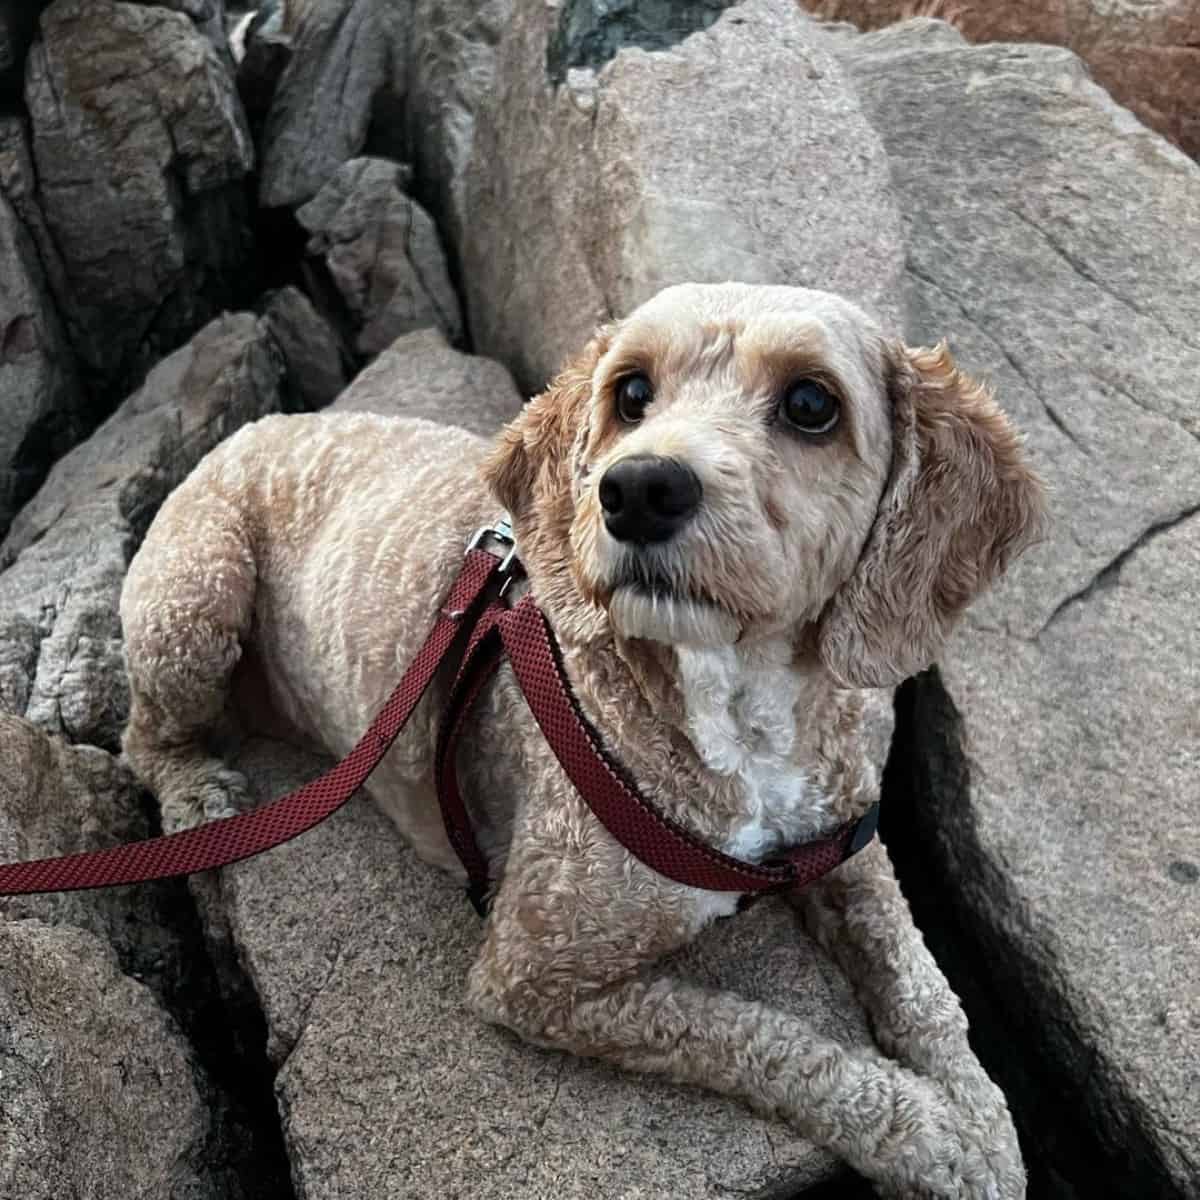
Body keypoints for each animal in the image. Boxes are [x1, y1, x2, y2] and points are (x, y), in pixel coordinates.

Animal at [119, 280, 1041, 1190]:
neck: (738, 711)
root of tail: (259, 423)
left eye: (812, 404)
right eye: (631, 392)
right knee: (140, 737)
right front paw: (926, 1131)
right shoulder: (535, 969)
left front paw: (979, 1123)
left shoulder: (847, 845)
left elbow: (924, 988)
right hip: (195, 598)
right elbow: (764, 1039)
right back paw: (197, 793)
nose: (638, 489)